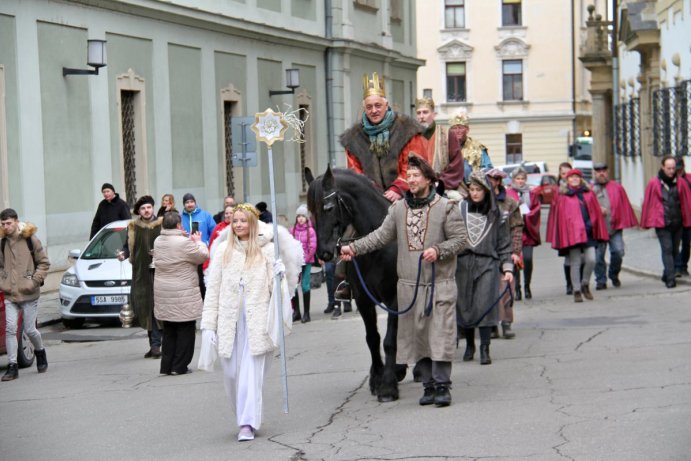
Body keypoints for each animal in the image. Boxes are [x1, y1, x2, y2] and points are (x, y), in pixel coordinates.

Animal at [304, 165, 406, 398]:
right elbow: (372, 338)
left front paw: (388, 385)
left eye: (329, 208)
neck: (377, 243)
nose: (323, 253)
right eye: (311, 211)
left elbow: (390, 340)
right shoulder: (363, 299)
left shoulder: (395, 297)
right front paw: (377, 377)